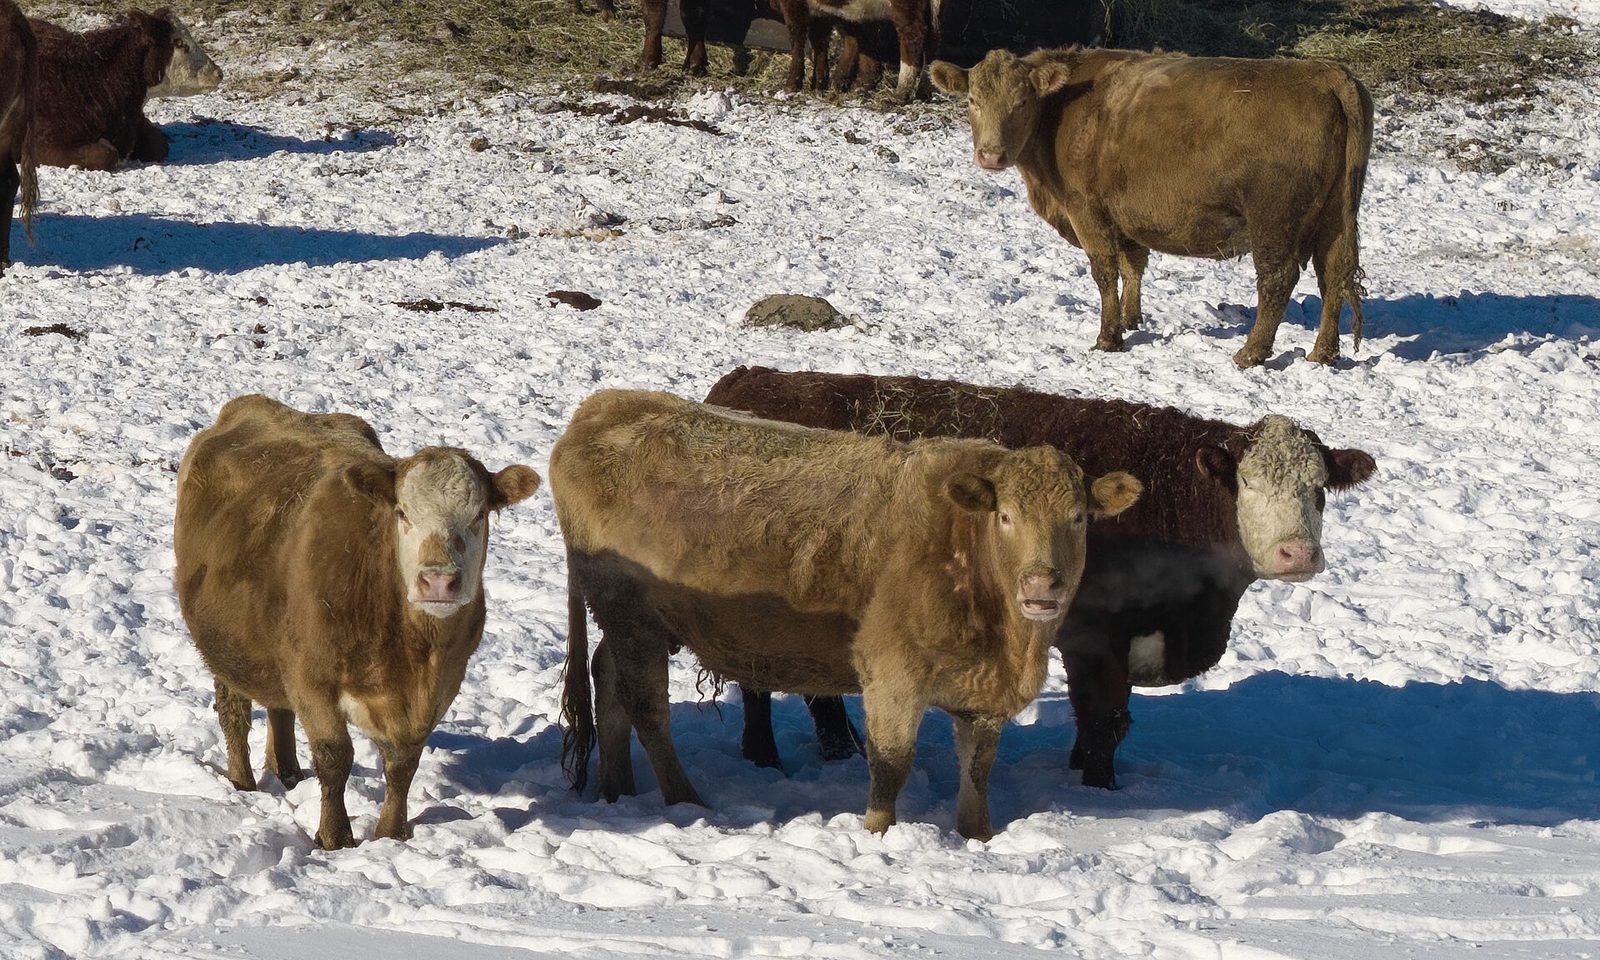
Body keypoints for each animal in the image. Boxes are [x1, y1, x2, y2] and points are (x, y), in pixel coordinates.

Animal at [174, 395, 540, 849]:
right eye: (402, 513)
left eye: (478, 516)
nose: (439, 579)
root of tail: (251, 405)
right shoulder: (311, 676)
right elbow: (336, 758)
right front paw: (335, 837)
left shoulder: (442, 685)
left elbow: (403, 764)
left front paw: (391, 834)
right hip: (224, 646)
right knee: (234, 713)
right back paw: (243, 782)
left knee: (279, 708)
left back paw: (289, 773)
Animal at [553, 389, 1140, 839]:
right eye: (1006, 516)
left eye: (1078, 517)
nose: (1042, 582)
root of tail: (606, 406)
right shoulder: (892, 672)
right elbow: (891, 763)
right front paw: (878, 835)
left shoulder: (981, 695)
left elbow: (978, 768)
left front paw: (978, 837)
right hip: (630, 616)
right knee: (646, 705)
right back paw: (684, 800)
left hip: (641, 624)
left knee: (608, 680)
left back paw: (617, 790)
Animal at [704, 367, 1377, 787]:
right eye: (1250, 483)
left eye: (1319, 489)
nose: (1296, 553)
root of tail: (748, 379)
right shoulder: (1095, 634)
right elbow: (1105, 718)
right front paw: (1099, 789)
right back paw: (764, 754)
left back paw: (839, 747)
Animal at [930, 48, 1374, 368]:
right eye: (972, 100)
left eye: (1021, 102)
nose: (991, 155)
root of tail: (1326, 72)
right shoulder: (1125, 215)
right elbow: (1133, 265)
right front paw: (1131, 320)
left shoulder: (1086, 209)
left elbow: (1105, 271)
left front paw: (1108, 337)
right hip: (1334, 217)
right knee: (1333, 275)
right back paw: (1322, 353)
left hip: (1273, 218)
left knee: (1278, 280)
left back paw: (1251, 353)